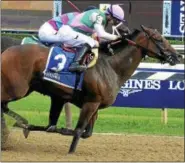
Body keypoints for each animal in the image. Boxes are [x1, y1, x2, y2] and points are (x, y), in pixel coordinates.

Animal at [0, 25, 181, 153]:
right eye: (158, 38)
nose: (177, 56)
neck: (110, 66)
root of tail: (7, 49)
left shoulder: (92, 105)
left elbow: (83, 132)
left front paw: (55, 129)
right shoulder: (90, 103)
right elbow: (79, 130)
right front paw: (70, 151)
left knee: (4, 107)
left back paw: (20, 125)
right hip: (17, 88)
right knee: (3, 105)